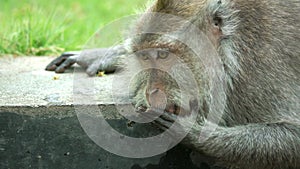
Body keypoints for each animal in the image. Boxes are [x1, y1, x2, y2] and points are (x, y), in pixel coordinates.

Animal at [45, 0, 298, 169]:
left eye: (164, 55)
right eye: (145, 57)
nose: (152, 91)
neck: (229, 49)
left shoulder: (262, 71)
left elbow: (294, 138)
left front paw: (190, 131)